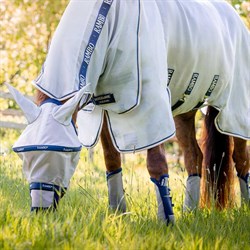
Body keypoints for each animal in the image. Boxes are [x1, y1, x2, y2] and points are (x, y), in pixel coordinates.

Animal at [6, 0, 249, 225]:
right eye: (23, 154)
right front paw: (117, 213)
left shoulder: (150, 105)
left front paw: (166, 221)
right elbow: (111, 160)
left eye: (68, 153)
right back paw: (190, 212)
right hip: (184, 110)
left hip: (235, 111)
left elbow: (156, 163)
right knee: (194, 156)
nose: (41, 211)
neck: (109, 19)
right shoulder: (101, 107)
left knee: (240, 158)